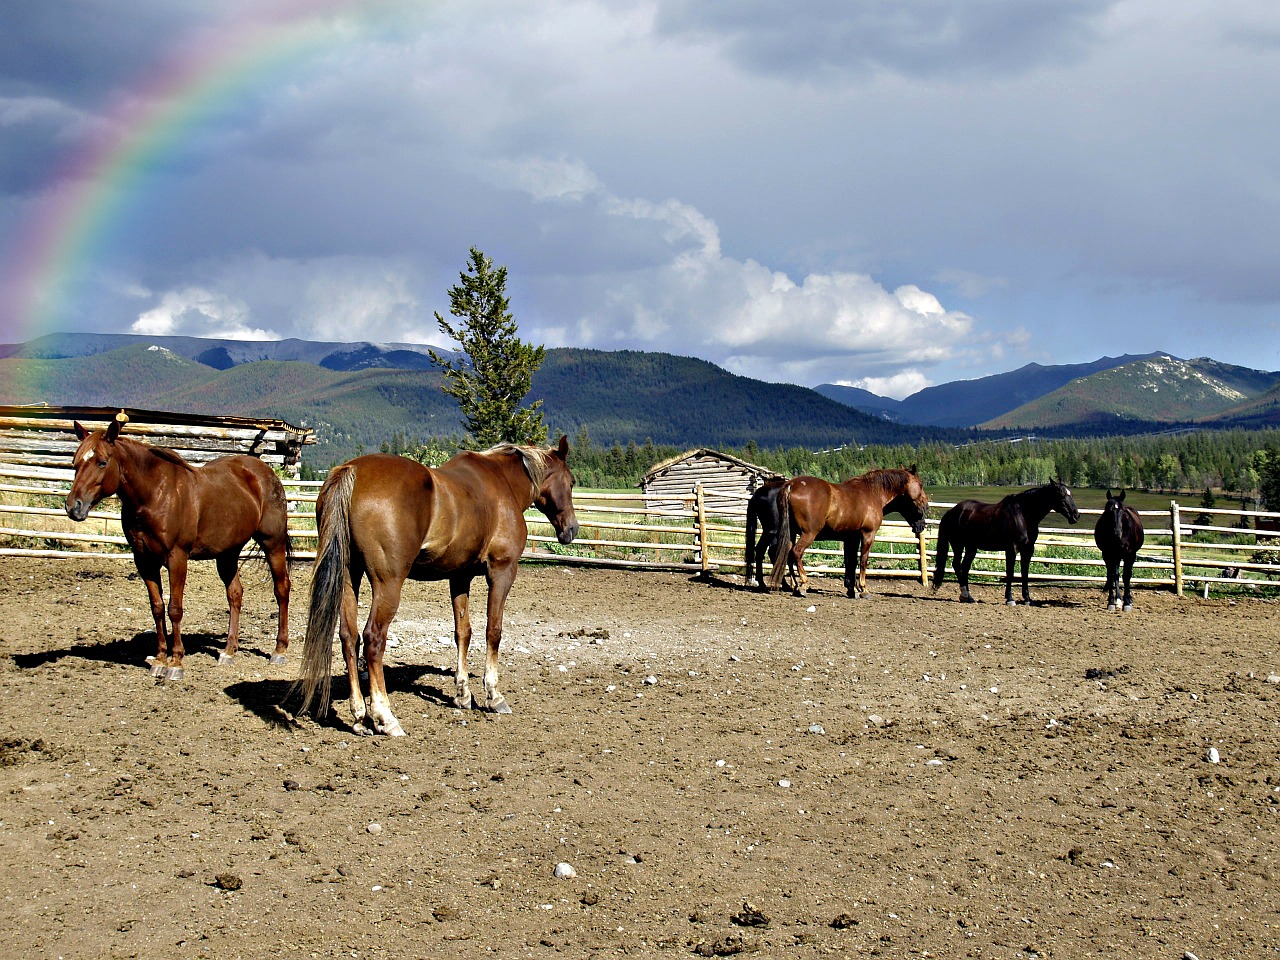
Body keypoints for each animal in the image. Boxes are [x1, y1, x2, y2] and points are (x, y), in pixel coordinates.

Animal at [67, 412, 294, 675]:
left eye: (102, 462)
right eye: (75, 462)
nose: (73, 506)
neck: (155, 493)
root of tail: (266, 474)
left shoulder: (177, 557)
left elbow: (174, 608)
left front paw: (176, 662)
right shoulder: (144, 560)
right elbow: (157, 607)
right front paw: (159, 659)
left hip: (273, 544)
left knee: (281, 589)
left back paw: (279, 650)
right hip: (227, 553)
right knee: (235, 593)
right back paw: (229, 650)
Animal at [293, 440, 578, 742]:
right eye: (571, 482)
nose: (572, 529)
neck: (503, 483)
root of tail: (352, 470)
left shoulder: (460, 576)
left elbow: (463, 632)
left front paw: (463, 694)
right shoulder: (502, 572)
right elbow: (494, 631)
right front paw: (494, 695)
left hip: (349, 576)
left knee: (349, 637)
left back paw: (360, 717)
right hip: (388, 583)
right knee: (373, 639)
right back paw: (385, 717)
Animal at [762, 468, 926, 599]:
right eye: (920, 484)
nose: (922, 523)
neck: (873, 494)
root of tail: (791, 485)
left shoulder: (851, 538)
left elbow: (850, 562)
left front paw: (851, 589)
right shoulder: (867, 535)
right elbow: (863, 561)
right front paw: (863, 589)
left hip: (791, 534)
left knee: (788, 555)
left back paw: (796, 586)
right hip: (808, 534)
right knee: (796, 552)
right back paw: (803, 584)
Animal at [931, 481, 1080, 609]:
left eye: (1071, 494)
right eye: (1061, 495)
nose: (1076, 516)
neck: (1023, 515)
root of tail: (952, 511)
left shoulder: (1028, 549)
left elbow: (1025, 573)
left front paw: (1027, 599)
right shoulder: (1012, 549)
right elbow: (1010, 573)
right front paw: (1010, 599)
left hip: (971, 548)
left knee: (964, 567)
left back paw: (968, 597)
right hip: (958, 545)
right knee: (957, 565)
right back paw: (965, 595)